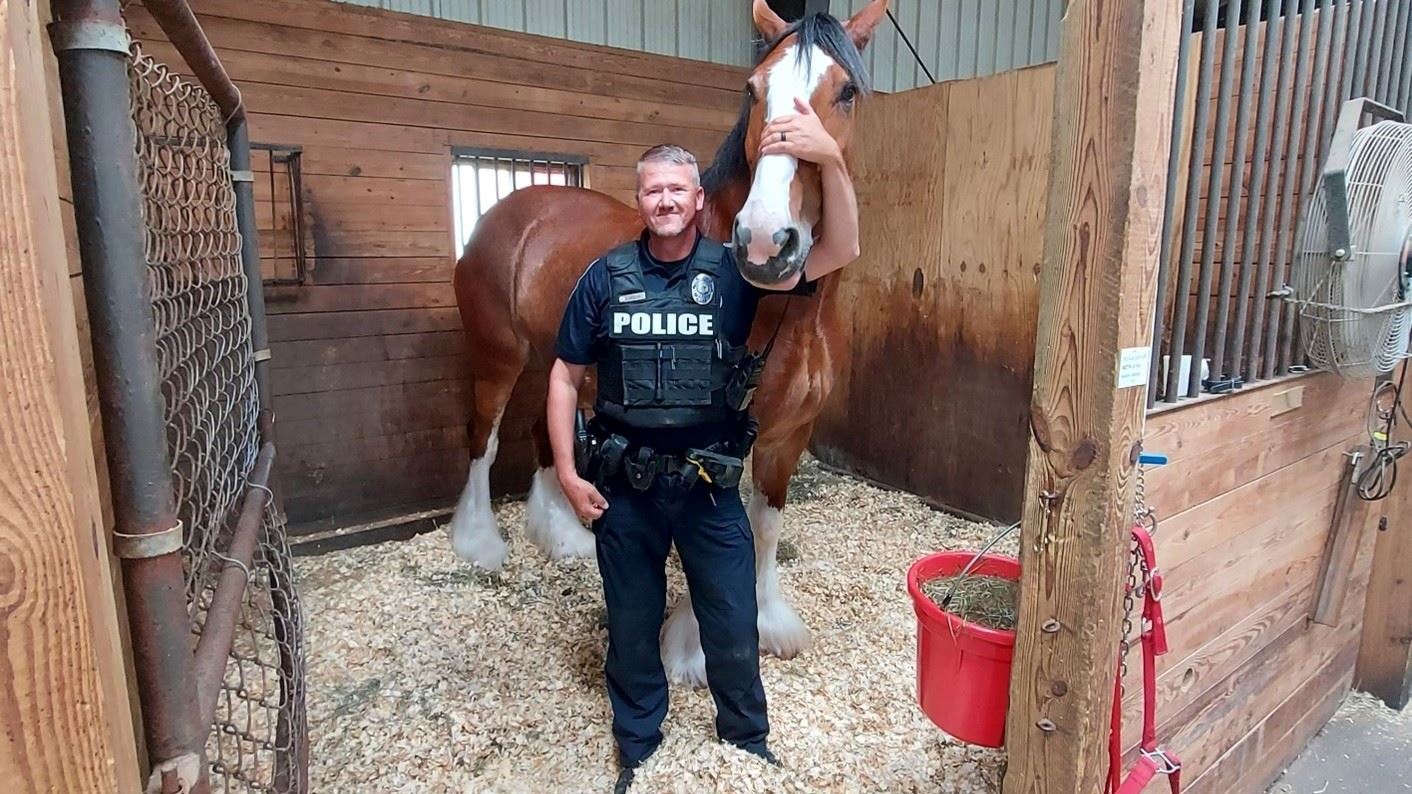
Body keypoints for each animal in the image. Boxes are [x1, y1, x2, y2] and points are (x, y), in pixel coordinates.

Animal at [447, 0, 887, 686]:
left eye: (844, 92)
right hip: (499, 358)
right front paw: (693, 648)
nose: (765, 241)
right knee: (482, 440)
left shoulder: (789, 436)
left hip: (553, 358)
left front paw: (768, 623)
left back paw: (563, 537)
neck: (789, 307)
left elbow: (765, 526)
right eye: (753, 89)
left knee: (546, 432)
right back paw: (480, 544)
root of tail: (506, 213)